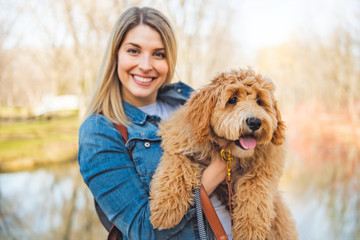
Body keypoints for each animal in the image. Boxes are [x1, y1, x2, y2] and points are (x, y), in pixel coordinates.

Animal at [149, 68, 298, 240]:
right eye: (232, 99)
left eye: (260, 101)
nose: (255, 122)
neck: (227, 150)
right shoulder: (178, 141)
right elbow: (177, 168)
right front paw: (165, 208)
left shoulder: (266, 168)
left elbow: (254, 189)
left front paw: (249, 229)